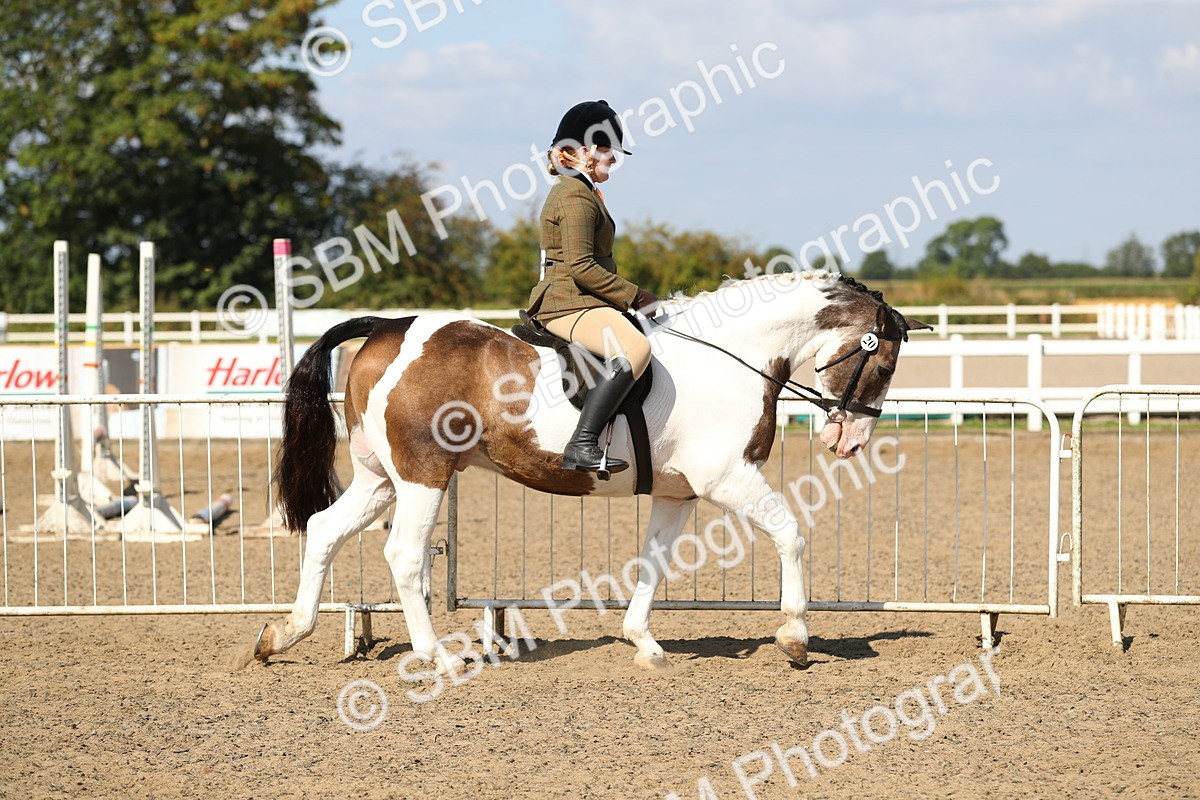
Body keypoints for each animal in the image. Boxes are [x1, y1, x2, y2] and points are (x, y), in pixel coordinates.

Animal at [236, 270, 930, 673]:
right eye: (884, 362)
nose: (850, 440)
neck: (732, 357)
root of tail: (388, 326)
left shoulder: (679, 494)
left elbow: (654, 562)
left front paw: (643, 642)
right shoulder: (728, 479)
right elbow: (791, 534)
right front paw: (794, 637)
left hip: (380, 478)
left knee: (324, 530)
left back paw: (284, 635)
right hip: (422, 476)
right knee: (404, 555)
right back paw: (436, 657)